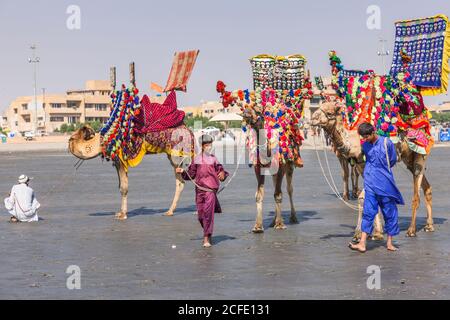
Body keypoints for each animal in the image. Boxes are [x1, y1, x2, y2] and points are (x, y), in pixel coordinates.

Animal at [214, 53, 312, 231]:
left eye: (258, 111)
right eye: (246, 107)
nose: (247, 114)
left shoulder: (281, 164)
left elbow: (279, 194)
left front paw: (280, 224)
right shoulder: (258, 167)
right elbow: (259, 195)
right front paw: (258, 226)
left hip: (290, 163)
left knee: (288, 188)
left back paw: (292, 217)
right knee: (276, 186)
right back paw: (273, 220)